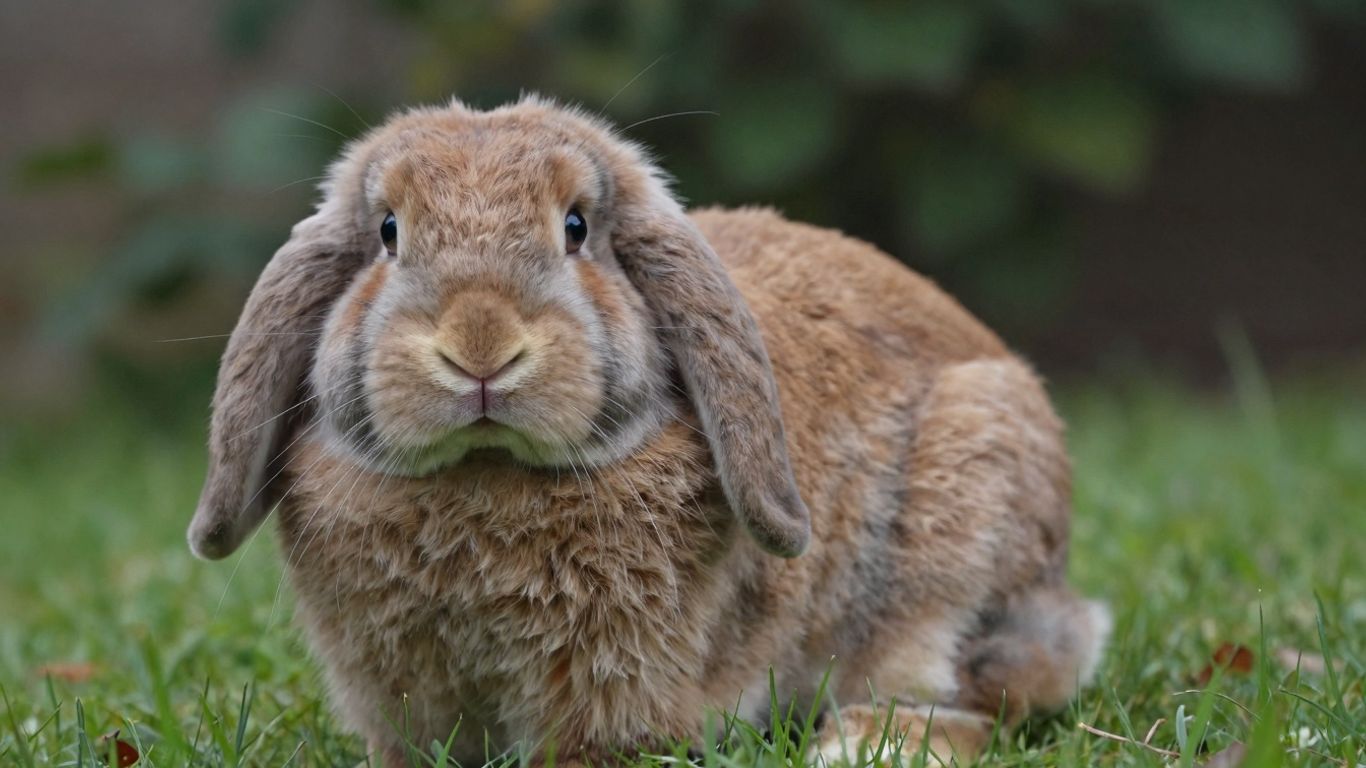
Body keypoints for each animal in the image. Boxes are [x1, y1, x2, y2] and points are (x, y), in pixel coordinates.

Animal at [187, 95, 1110, 767]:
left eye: (575, 228)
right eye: (387, 233)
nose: (481, 347)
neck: (485, 473)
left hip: (960, 540)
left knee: (980, 694)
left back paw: (871, 748)